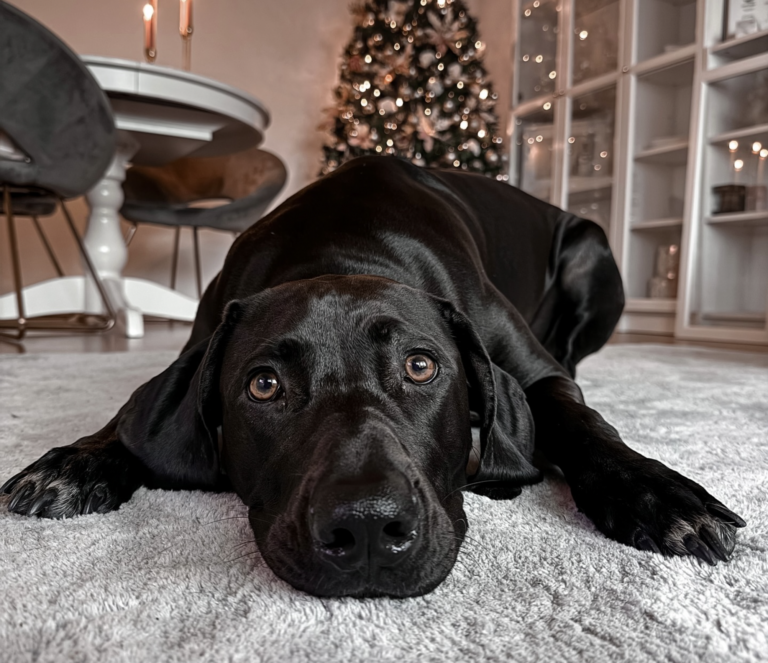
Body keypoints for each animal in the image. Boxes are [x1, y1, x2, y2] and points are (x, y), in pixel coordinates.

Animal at [0, 158, 744, 600]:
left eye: (421, 365)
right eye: (263, 385)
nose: (364, 531)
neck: (339, 249)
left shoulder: (535, 374)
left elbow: (586, 426)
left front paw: (661, 496)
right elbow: (128, 416)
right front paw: (76, 460)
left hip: (593, 252)